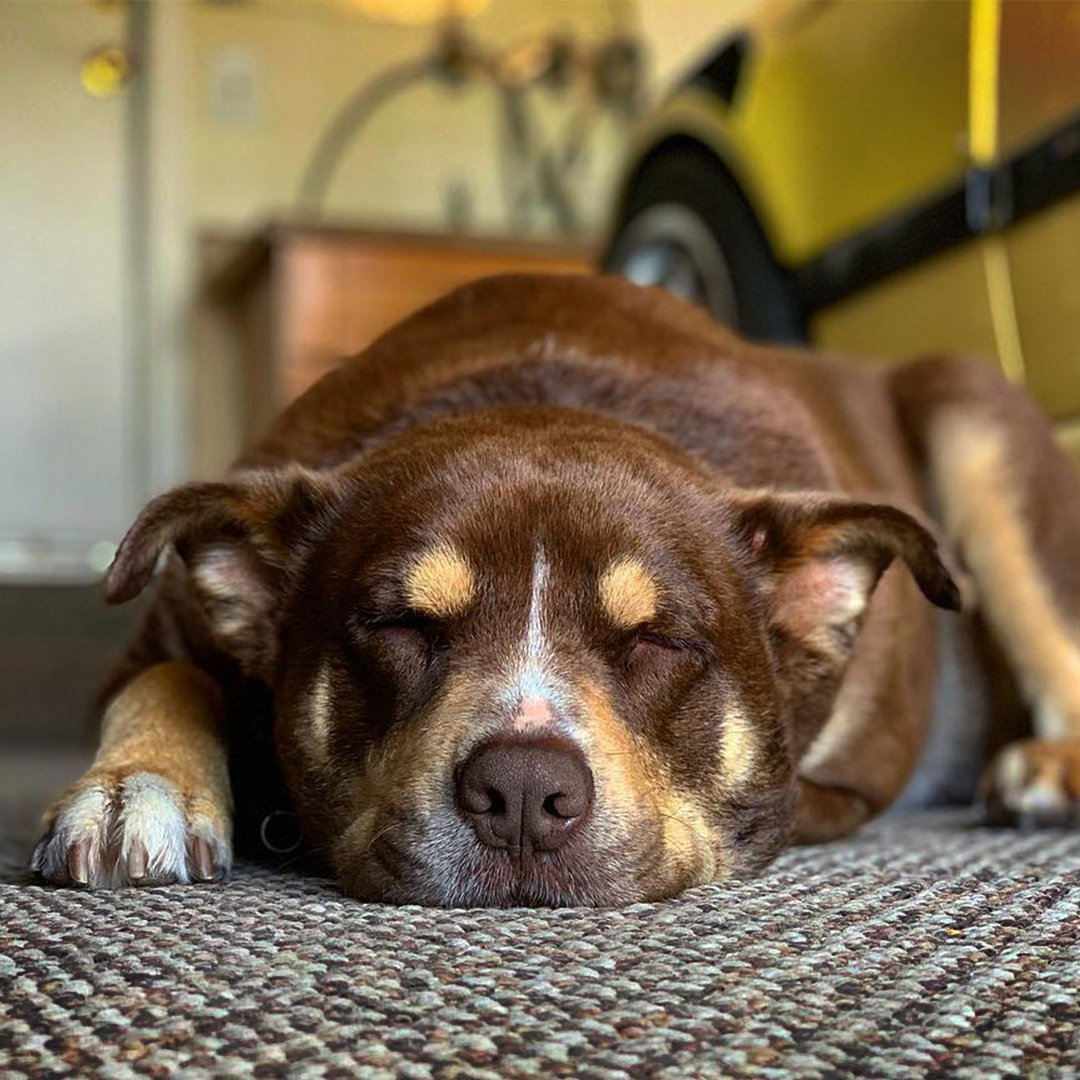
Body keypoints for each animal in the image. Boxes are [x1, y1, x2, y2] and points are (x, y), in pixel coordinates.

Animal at [29, 276, 1080, 902]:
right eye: (400, 624)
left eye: (658, 641)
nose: (526, 790)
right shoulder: (166, 626)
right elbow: (164, 678)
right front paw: (138, 786)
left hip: (974, 423)